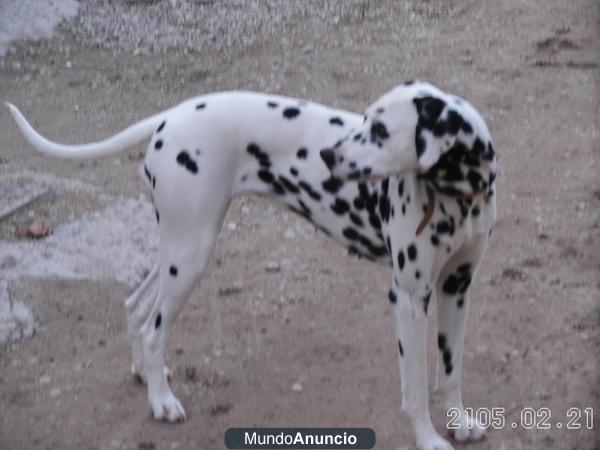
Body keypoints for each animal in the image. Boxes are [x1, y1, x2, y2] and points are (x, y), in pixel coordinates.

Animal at [7, 81, 496, 450]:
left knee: (136, 306)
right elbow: (415, 386)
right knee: (153, 327)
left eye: (379, 129)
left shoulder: (457, 287)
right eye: (367, 121)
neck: (458, 193)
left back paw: (147, 374)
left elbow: (450, 370)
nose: (329, 157)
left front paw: (459, 422)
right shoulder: (409, 299)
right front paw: (429, 439)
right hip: (190, 255)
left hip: (178, 253)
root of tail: (171, 115)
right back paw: (162, 401)